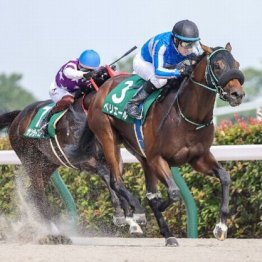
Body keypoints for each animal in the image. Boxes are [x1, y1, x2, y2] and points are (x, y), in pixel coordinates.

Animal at [88, 43, 246, 246]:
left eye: (236, 64)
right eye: (218, 66)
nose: (237, 94)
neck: (186, 116)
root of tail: (102, 88)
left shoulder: (199, 157)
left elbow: (225, 177)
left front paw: (221, 227)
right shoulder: (157, 158)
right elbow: (173, 193)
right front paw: (159, 207)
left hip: (138, 151)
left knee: (145, 190)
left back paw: (166, 232)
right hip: (108, 137)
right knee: (116, 181)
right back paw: (137, 214)